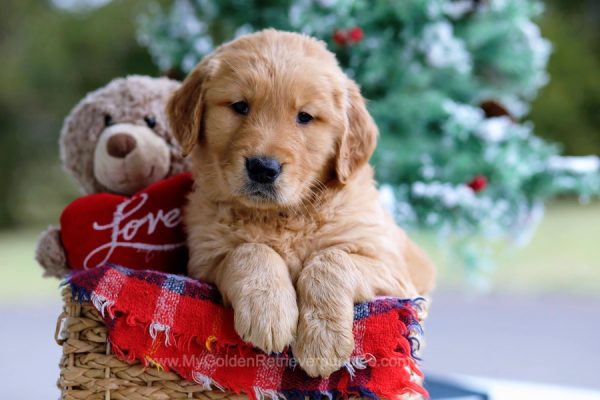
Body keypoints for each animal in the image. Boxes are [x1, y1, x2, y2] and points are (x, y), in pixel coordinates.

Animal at [166, 29, 434, 376]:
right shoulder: (204, 260)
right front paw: (268, 313)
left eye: (304, 117)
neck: (281, 216)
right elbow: (250, 251)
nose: (263, 168)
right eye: (240, 106)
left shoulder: (391, 271)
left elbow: (331, 260)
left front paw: (323, 340)